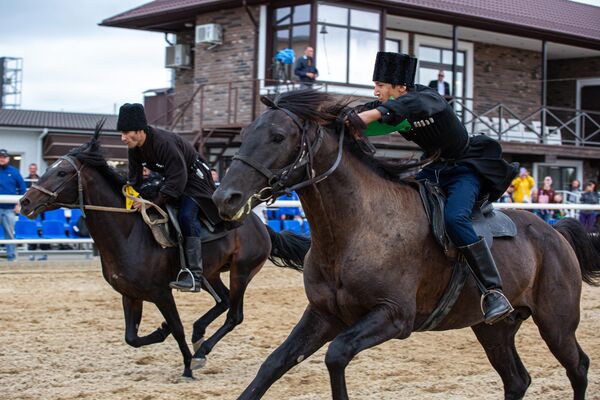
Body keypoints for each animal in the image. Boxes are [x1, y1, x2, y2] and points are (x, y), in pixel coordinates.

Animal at [18, 123, 310, 380]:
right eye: (49, 169)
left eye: (62, 173)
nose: (25, 202)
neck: (128, 233)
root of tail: (261, 226)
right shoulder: (130, 295)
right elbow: (132, 338)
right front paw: (162, 331)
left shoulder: (161, 293)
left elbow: (177, 329)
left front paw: (187, 366)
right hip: (210, 273)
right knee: (223, 300)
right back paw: (199, 333)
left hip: (242, 271)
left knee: (234, 315)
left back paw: (201, 351)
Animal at [213, 90, 596, 400]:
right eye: (245, 135)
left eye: (278, 136)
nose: (224, 198)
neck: (355, 230)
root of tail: (555, 234)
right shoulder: (323, 315)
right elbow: (273, 365)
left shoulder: (394, 317)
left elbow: (336, 355)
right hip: (494, 329)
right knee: (517, 380)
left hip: (556, 323)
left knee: (578, 367)